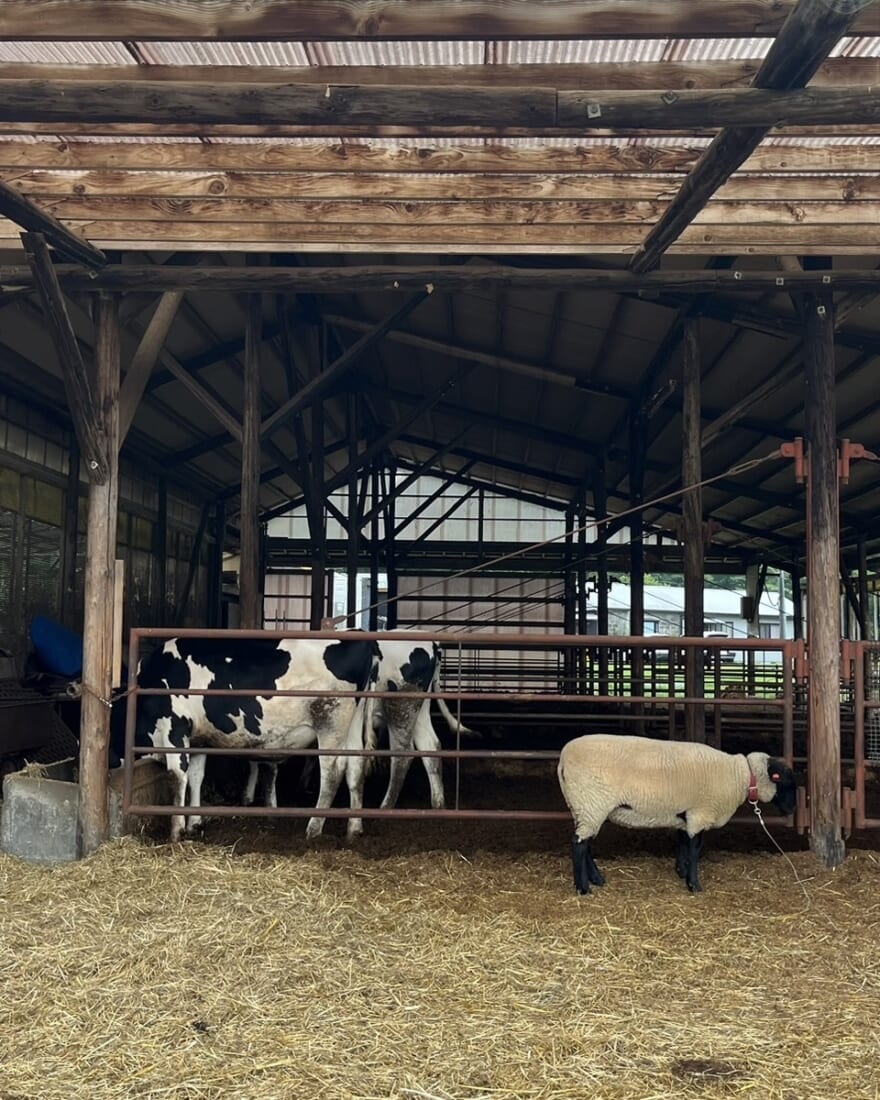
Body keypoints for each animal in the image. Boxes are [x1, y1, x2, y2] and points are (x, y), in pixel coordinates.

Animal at [113, 633, 378, 836]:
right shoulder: (198, 739)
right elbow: (197, 776)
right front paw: (194, 823)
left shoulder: (174, 730)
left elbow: (178, 777)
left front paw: (177, 830)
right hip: (351, 727)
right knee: (355, 767)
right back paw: (354, 827)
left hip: (330, 722)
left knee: (333, 771)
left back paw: (313, 827)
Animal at [556, 730, 796, 893]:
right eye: (784, 781)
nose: (793, 808)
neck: (741, 776)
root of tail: (562, 759)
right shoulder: (700, 814)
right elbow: (694, 848)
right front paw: (693, 884)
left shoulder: (686, 814)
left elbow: (682, 843)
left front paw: (681, 871)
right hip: (591, 803)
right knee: (579, 845)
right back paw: (583, 888)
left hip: (584, 806)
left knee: (584, 844)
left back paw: (596, 879)